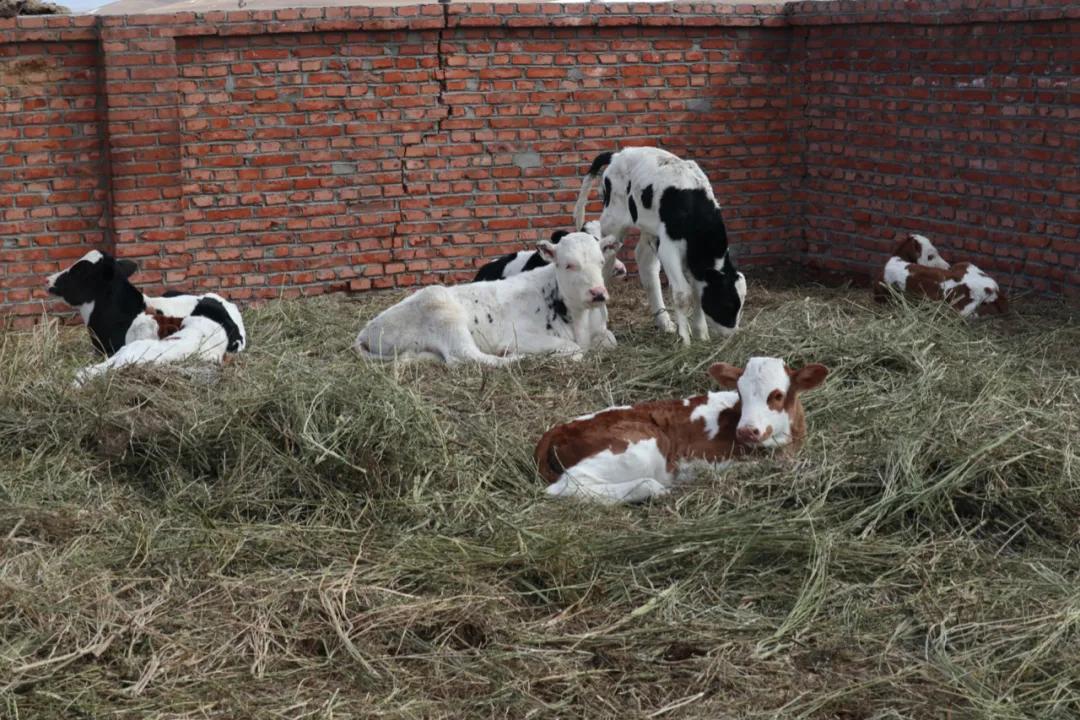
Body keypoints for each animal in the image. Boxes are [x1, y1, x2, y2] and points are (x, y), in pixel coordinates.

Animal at [356, 232, 622, 367]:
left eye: (600, 261)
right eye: (568, 264)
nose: (598, 293)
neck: (580, 319)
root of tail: (367, 330)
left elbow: (612, 340)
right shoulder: (517, 336)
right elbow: (573, 349)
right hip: (443, 311)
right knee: (465, 357)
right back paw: (517, 359)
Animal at [574, 146, 743, 343]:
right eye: (728, 303)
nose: (732, 333)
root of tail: (618, 154)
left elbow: (696, 290)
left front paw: (701, 335)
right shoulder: (669, 246)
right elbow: (683, 293)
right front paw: (685, 340)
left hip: (649, 229)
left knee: (645, 262)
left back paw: (664, 322)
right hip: (613, 222)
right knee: (606, 260)